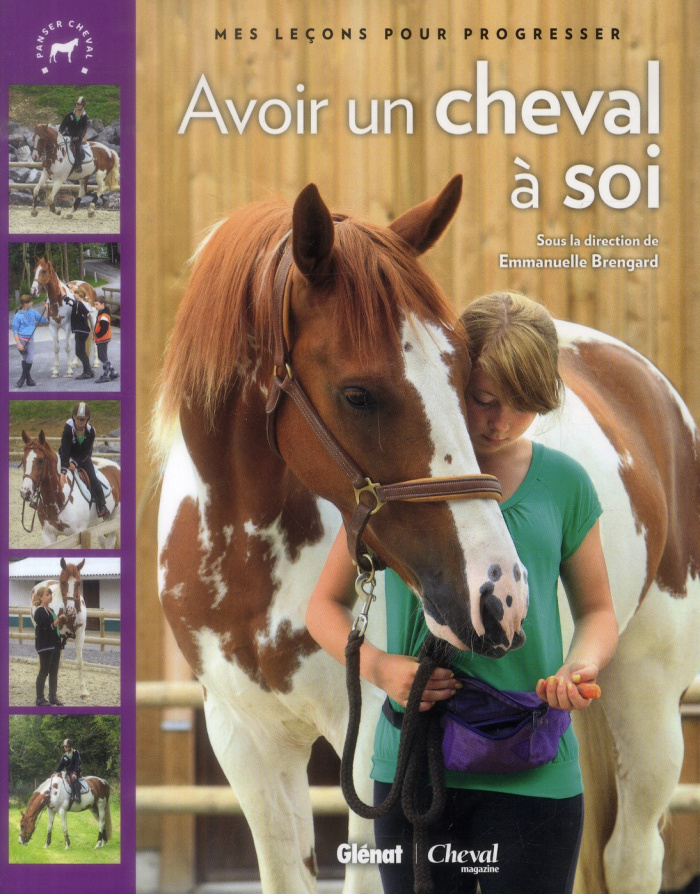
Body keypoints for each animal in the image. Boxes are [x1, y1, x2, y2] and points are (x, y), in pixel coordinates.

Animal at [31, 559, 89, 699]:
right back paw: (45, 683)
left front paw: (84, 691)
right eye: (62, 582)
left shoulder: (80, 635)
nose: (70, 610)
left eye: (79, 583)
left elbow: (79, 662)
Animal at [154, 179, 700, 894]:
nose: (499, 594)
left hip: (648, 691)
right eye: (357, 393)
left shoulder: (367, 749)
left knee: (631, 854)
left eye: (465, 376)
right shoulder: (244, 741)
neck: (250, 557)